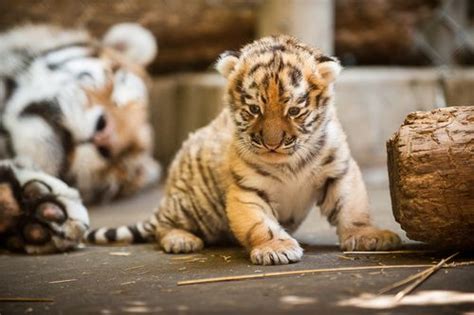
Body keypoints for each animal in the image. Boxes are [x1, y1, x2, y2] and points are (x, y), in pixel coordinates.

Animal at [86, 35, 400, 266]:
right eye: (254, 109)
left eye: (294, 111)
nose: (272, 143)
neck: (289, 162)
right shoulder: (247, 188)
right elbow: (260, 223)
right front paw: (276, 248)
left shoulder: (339, 171)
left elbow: (352, 206)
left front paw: (369, 236)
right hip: (192, 205)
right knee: (164, 225)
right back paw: (181, 240)